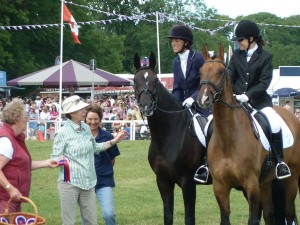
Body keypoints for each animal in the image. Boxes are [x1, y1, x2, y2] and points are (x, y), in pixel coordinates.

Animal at [134, 51, 209, 224]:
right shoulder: (163, 181)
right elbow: (168, 215)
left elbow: (189, 217)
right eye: (134, 81)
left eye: (155, 80)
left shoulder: (188, 182)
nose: (147, 107)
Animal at [197, 44, 300, 225]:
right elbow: (225, 219)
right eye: (201, 71)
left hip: (291, 178)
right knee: (269, 214)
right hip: (265, 182)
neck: (228, 138)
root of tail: (290, 116)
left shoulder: (251, 185)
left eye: (220, 72)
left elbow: (253, 219)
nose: (203, 99)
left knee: (288, 212)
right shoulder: (220, 187)